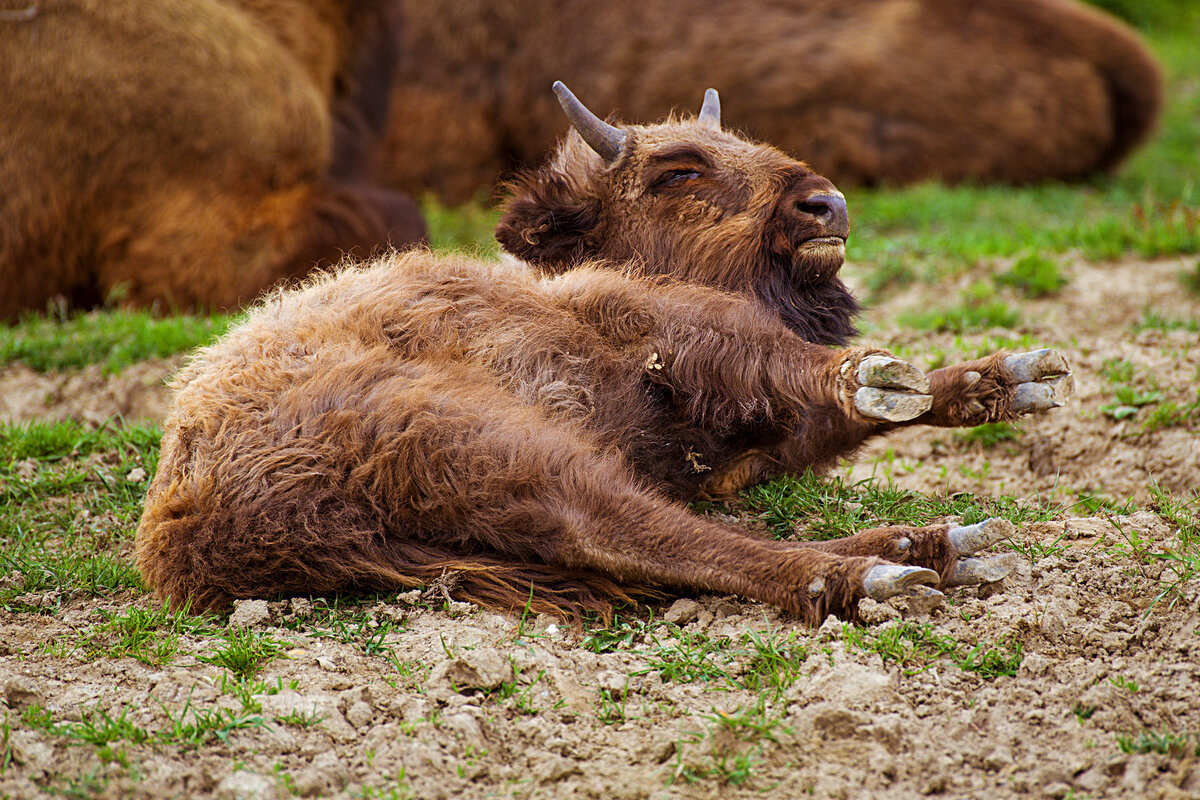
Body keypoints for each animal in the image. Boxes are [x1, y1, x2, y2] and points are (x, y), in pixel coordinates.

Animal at [136, 84, 1075, 623]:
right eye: (678, 171)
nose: (825, 206)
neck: (554, 271)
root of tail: (188, 532)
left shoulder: (736, 458)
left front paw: (1011, 379)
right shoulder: (651, 322)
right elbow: (786, 368)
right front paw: (879, 375)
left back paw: (937, 550)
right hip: (496, 445)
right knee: (635, 534)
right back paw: (892, 573)